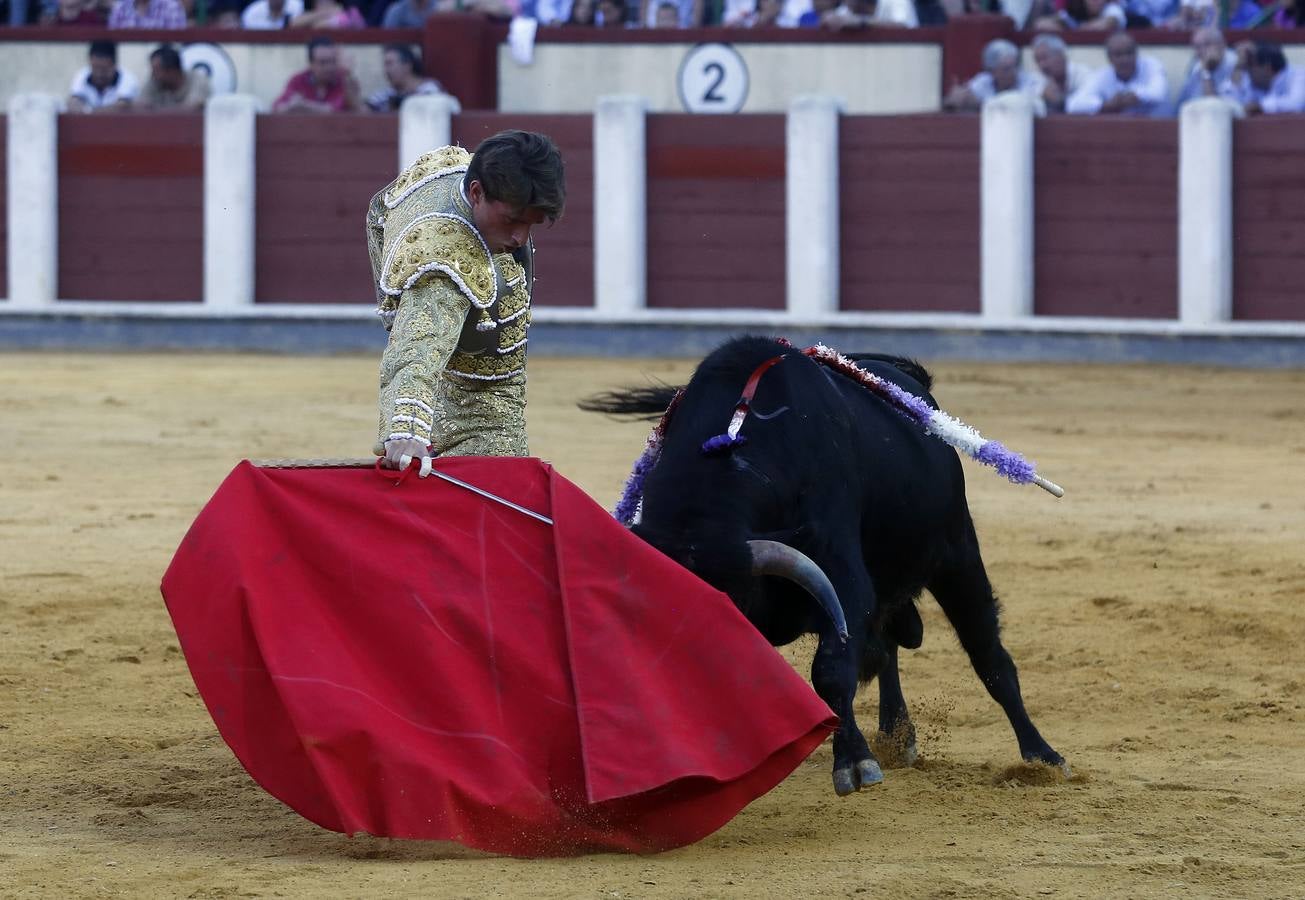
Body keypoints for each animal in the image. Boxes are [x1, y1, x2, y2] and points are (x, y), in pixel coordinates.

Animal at [587, 336, 1064, 793]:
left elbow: (831, 672)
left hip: (957, 553)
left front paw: (855, 764)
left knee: (988, 655)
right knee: (888, 644)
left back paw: (1042, 757)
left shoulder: (843, 578)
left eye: (728, 613)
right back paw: (897, 736)